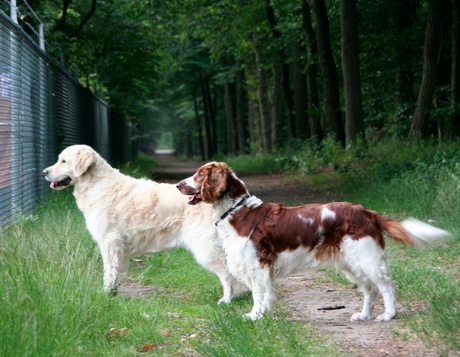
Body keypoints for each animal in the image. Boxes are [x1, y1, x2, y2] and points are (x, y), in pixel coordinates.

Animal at [177, 163, 452, 322]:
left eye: (199, 174)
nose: (178, 184)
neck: (236, 210)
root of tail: (367, 212)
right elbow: (264, 294)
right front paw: (262, 315)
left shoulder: (257, 264)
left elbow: (257, 294)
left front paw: (254, 316)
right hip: (352, 264)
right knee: (369, 290)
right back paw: (363, 315)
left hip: (367, 258)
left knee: (386, 286)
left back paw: (388, 315)